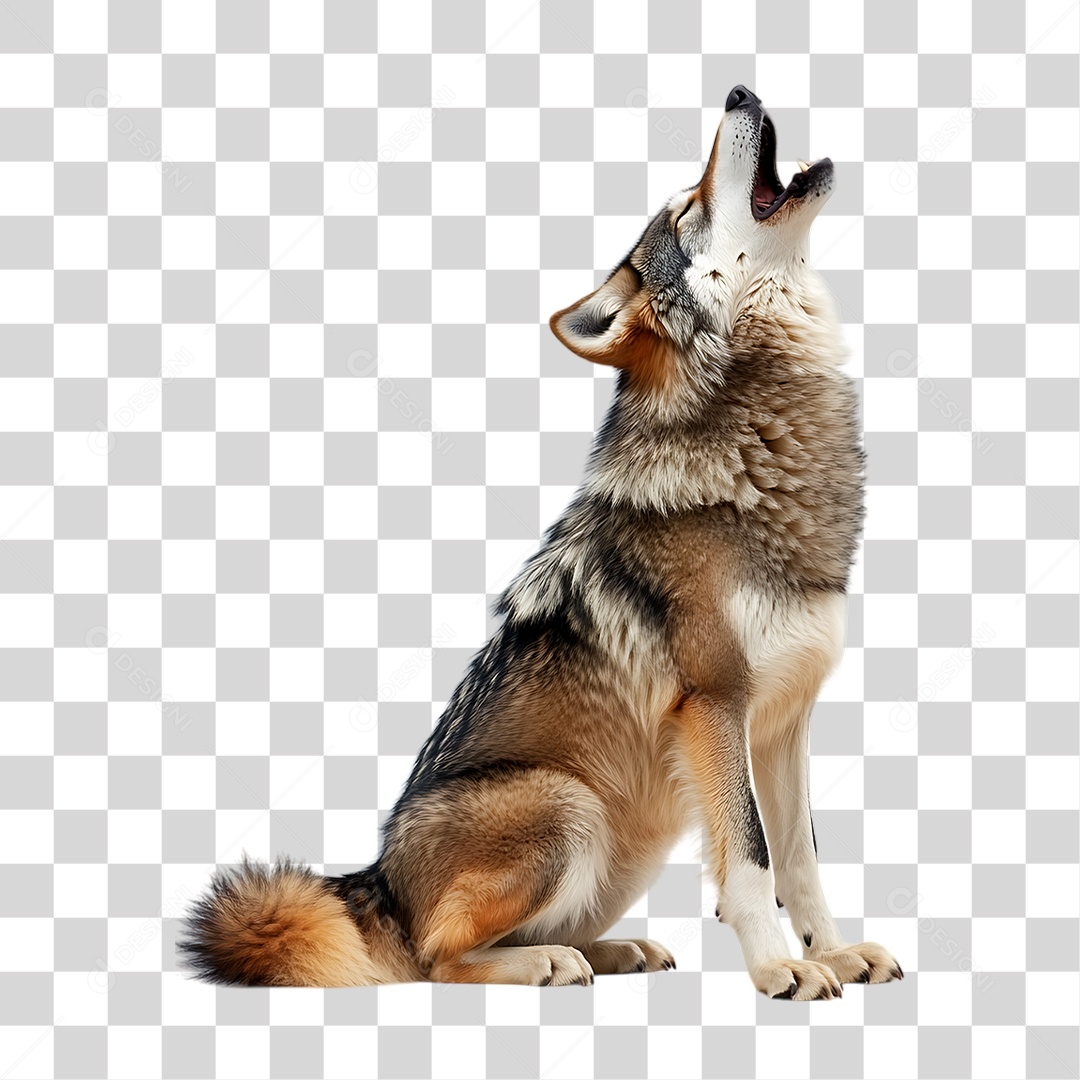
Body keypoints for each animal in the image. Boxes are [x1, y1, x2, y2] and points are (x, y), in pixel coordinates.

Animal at [180, 87, 902, 999]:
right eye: (687, 210)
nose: (739, 92)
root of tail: (375, 885)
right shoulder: (715, 705)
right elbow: (751, 860)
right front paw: (779, 969)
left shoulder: (783, 723)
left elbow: (801, 858)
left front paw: (834, 950)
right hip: (569, 806)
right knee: (435, 960)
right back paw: (546, 963)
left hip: (627, 840)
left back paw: (613, 952)